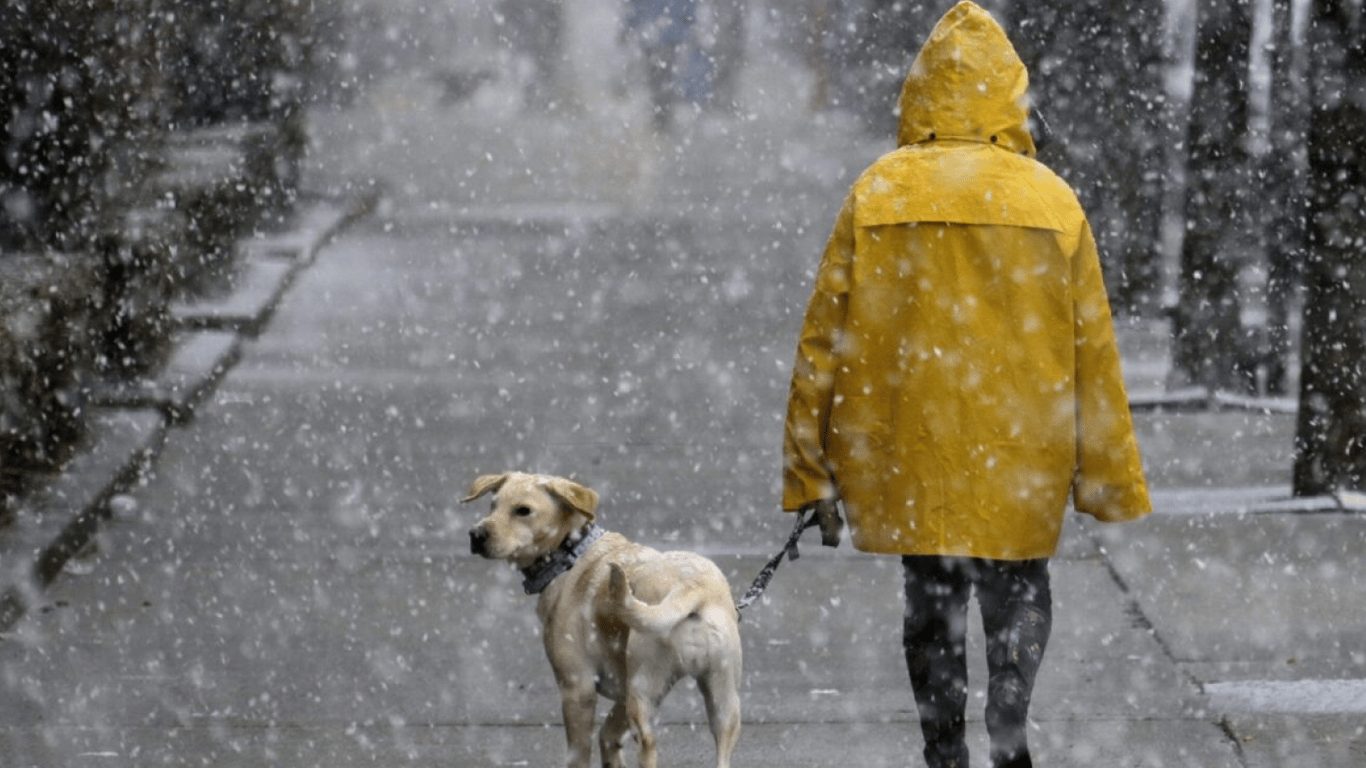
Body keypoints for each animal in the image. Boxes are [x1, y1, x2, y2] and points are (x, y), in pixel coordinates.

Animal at [467, 470, 748, 759]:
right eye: (492, 506)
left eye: (523, 510)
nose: (475, 535)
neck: (571, 552)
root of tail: (691, 587)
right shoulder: (622, 695)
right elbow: (608, 737)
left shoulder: (577, 689)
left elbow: (579, 753)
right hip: (724, 703)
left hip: (642, 693)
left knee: (648, 744)